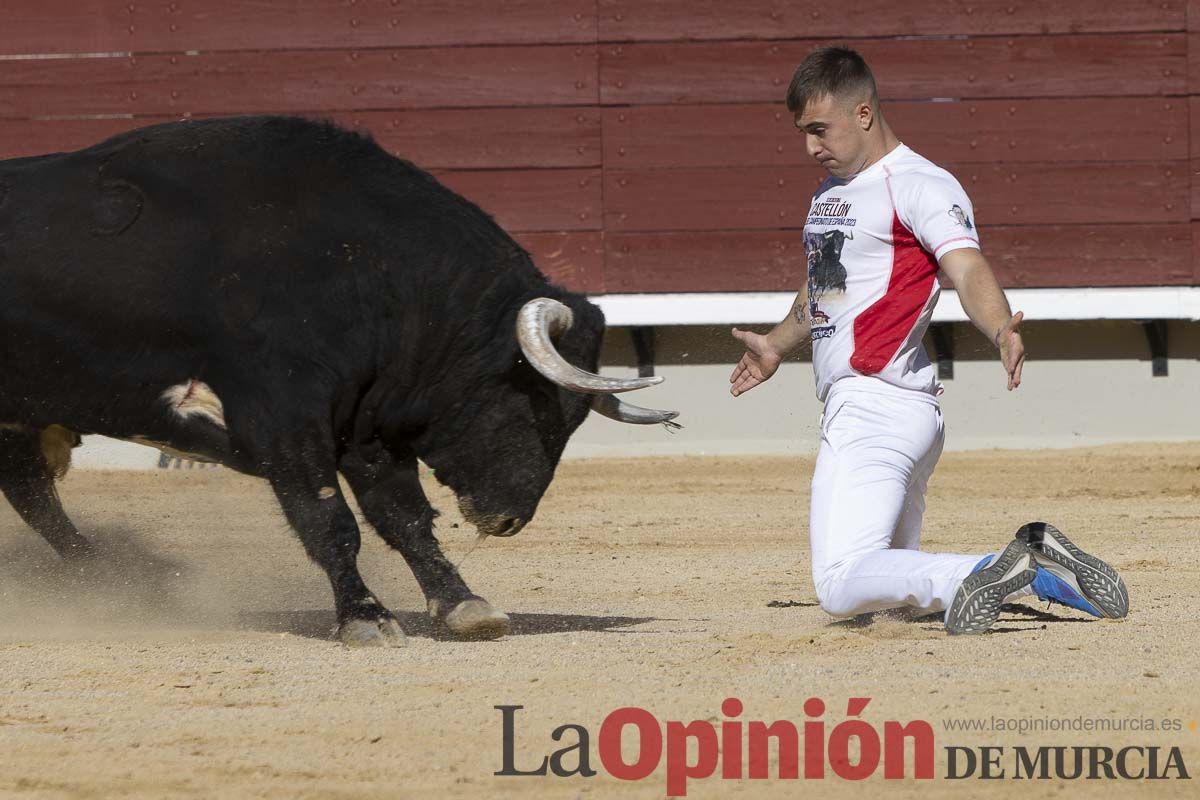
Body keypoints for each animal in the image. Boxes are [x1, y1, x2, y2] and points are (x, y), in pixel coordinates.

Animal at [0, 115, 681, 647]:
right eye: (529, 400)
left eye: (576, 418)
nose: (509, 518)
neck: (362, 267)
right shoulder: (287, 420)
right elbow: (329, 520)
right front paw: (365, 618)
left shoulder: (367, 428)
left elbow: (405, 519)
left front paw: (465, 607)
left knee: (33, 494)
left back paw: (108, 581)